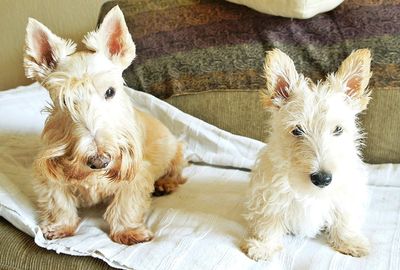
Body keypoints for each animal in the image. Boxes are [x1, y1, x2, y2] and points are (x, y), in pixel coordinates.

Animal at [244, 48, 372, 260]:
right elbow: (268, 221)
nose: (322, 178)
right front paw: (264, 246)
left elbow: (344, 218)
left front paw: (349, 242)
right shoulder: (270, 194)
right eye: (297, 130)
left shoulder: (345, 194)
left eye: (338, 129)